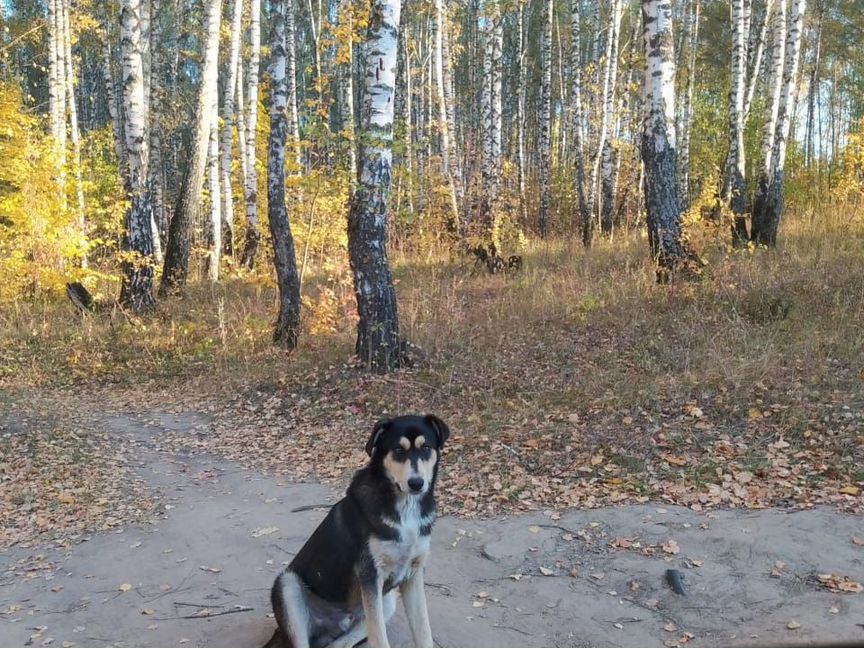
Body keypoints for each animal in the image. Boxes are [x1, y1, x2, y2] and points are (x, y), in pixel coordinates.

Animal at [266, 416, 448, 648]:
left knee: (340, 643)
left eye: (426, 448)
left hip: (387, 601)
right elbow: (379, 637)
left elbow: (423, 631)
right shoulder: (370, 574)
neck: (406, 507)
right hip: (287, 585)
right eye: (398, 450)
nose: (416, 483)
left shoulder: (413, 574)